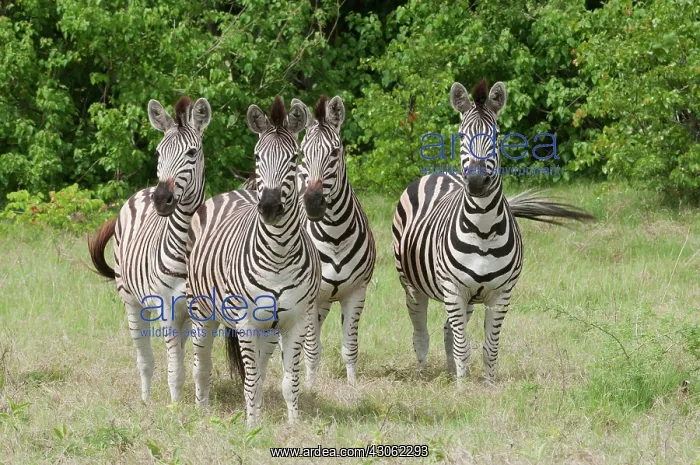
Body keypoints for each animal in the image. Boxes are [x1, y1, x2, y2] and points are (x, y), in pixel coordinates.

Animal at [88, 96, 211, 402]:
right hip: (130, 300)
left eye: (192, 152)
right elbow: (175, 368)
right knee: (144, 357)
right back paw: (145, 400)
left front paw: (201, 406)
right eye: (158, 153)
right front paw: (176, 408)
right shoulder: (166, 307)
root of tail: (140, 192)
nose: (161, 199)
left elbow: (197, 365)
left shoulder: (198, 308)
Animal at [185, 96, 320, 426]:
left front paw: (293, 425)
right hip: (202, 311)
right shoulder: (245, 321)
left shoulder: (295, 320)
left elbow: (287, 380)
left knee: (259, 369)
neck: (279, 254)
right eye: (258, 156)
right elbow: (249, 379)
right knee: (201, 365)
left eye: (294, 158)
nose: (270, 207)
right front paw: (252, 426)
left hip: (268, 329)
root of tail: (234, 192)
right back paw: (202, 410)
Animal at [290, 95, 377, 387]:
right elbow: (311, 350)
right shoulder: (311, 298)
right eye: (303, 153)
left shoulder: (356, 292)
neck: (335, 235)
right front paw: (309, 387)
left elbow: (350, 347)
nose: (313, 203)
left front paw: (352, 387)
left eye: (335, 153)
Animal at [392, 78, 593, 381]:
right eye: (462, 136)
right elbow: (463, 347)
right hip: (412, 285)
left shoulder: (501, 294)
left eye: (496, 136)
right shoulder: (453, 289)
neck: (484, 230)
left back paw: (450, 373)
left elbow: (489, 348)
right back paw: (423, 373)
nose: (477, 182)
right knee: (420, 334)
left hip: (466, 300)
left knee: (447, 331)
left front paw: (486, 384)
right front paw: (463, 389)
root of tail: (438, 174)